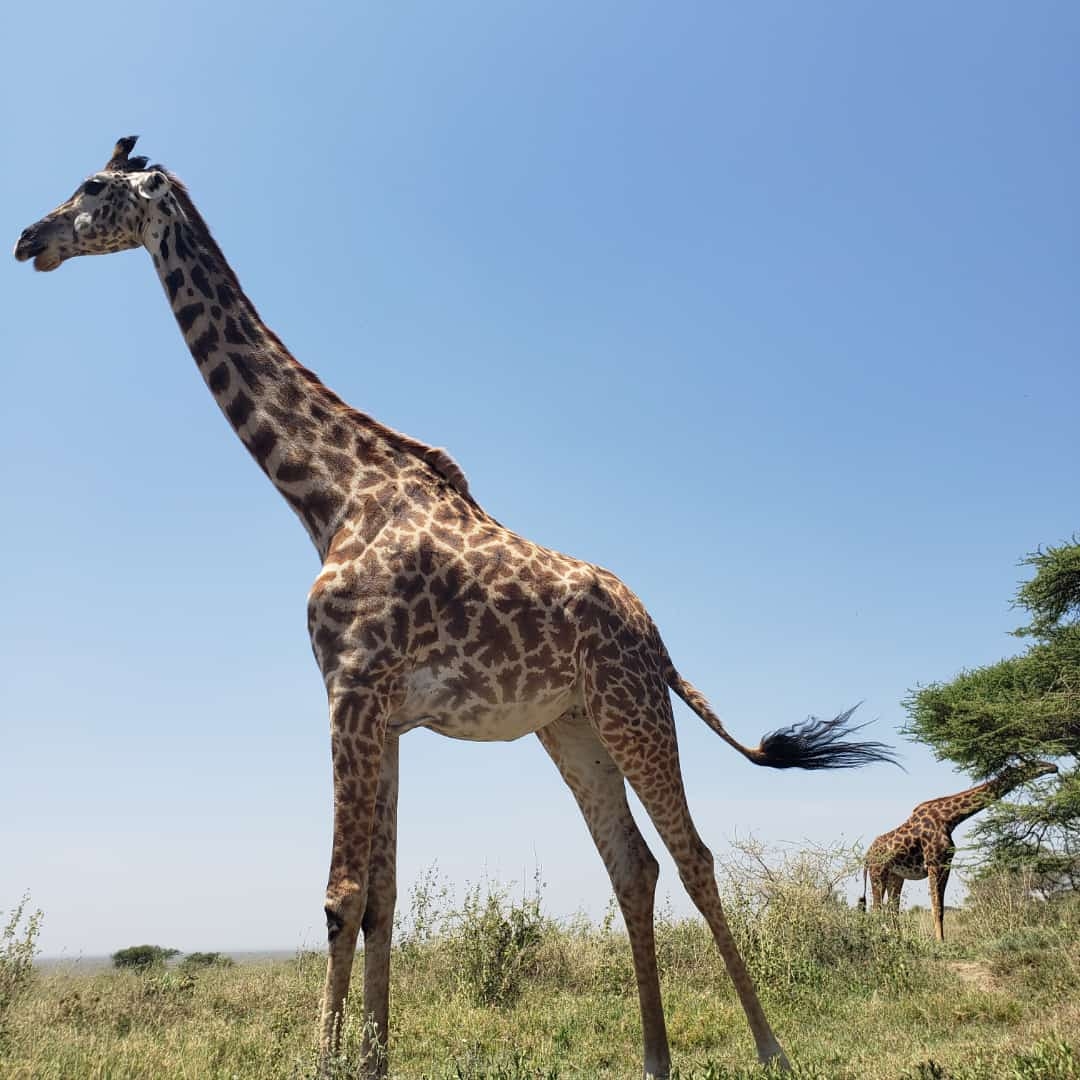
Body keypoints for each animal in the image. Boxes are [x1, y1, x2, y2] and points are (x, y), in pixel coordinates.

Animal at [15, 136, 898, 1079]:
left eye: (93, 185)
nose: (30, 238)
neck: (331, 496)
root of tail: (655, 633)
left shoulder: (350, 689)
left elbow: (340, 895)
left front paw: (330, 1062)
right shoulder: (384, 713)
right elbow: (382, 898)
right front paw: (372, 1061)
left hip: (632, 707)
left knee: (693, 857)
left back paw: (771, 1046)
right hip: (572, 726)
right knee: (633, 865)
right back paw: (654, 1059)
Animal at [861, 760, 1058, 941]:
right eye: (1034, 763)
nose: (1053, 767)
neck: (950, 818)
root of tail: (867, 856)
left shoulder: (946, 863)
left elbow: (940, 907)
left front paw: (941, 940)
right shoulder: (934, 862)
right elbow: (936, 907)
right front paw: (940, 943)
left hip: (896, 875)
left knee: (892, 909)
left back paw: (898, 940)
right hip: (878, 872)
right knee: (877, 908)